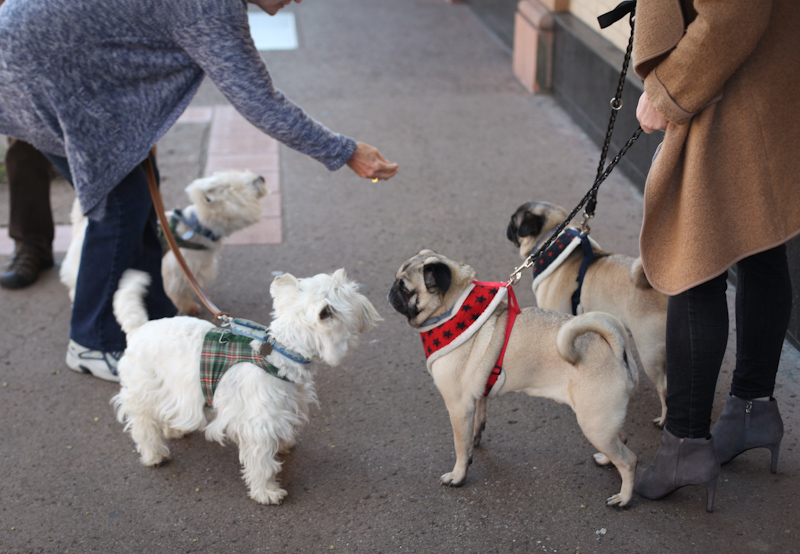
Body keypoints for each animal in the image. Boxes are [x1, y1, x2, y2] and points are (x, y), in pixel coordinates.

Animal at [61, 170, 268, 312]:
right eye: (232, 187)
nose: (261, 177)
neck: (197, 227)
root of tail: (83, 223)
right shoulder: (177, 270)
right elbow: (178, 290)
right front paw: (186, 307)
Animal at [109, 268, 382, 504]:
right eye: (349, 289)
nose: (366, 297)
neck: (281, 352)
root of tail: (138, 329)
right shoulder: (257, 423)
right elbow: (262, 462)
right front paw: (268, 492)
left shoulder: (284, 407)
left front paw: (284, 445)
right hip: (142, 390)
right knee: (143, 424)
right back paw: (155, 455)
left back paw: (174, 430)